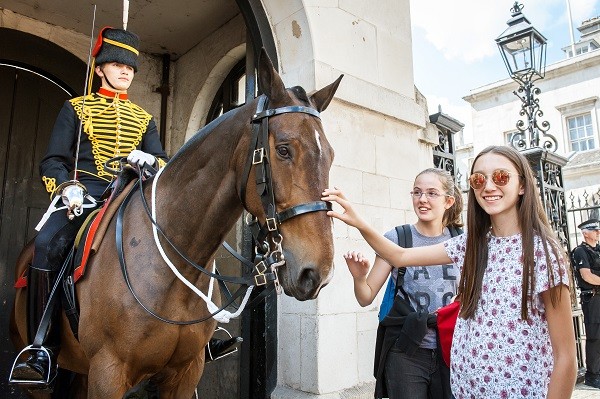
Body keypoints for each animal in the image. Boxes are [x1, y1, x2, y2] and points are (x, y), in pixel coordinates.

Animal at [10, 50, 342, 399]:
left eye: (331, 155)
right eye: (283, 150)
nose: (318, 272)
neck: (173, 270)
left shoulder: (186, 371)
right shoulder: (108, 371)